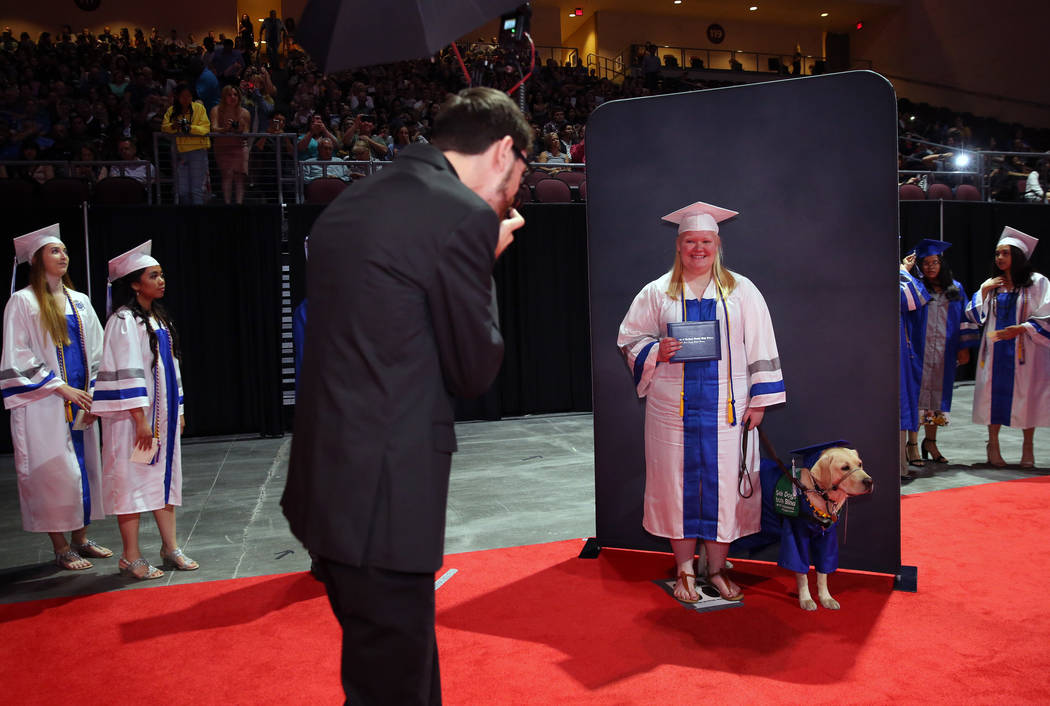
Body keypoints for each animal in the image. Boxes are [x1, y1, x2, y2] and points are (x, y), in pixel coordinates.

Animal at [785, 443, 873, 609]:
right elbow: (802, 573)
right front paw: (806, 599)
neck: (820, 495)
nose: (869, 481)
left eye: (860, 464)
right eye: (844, 467)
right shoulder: (797, 536)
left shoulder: (826, 539)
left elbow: (822, 575)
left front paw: (826, 598)